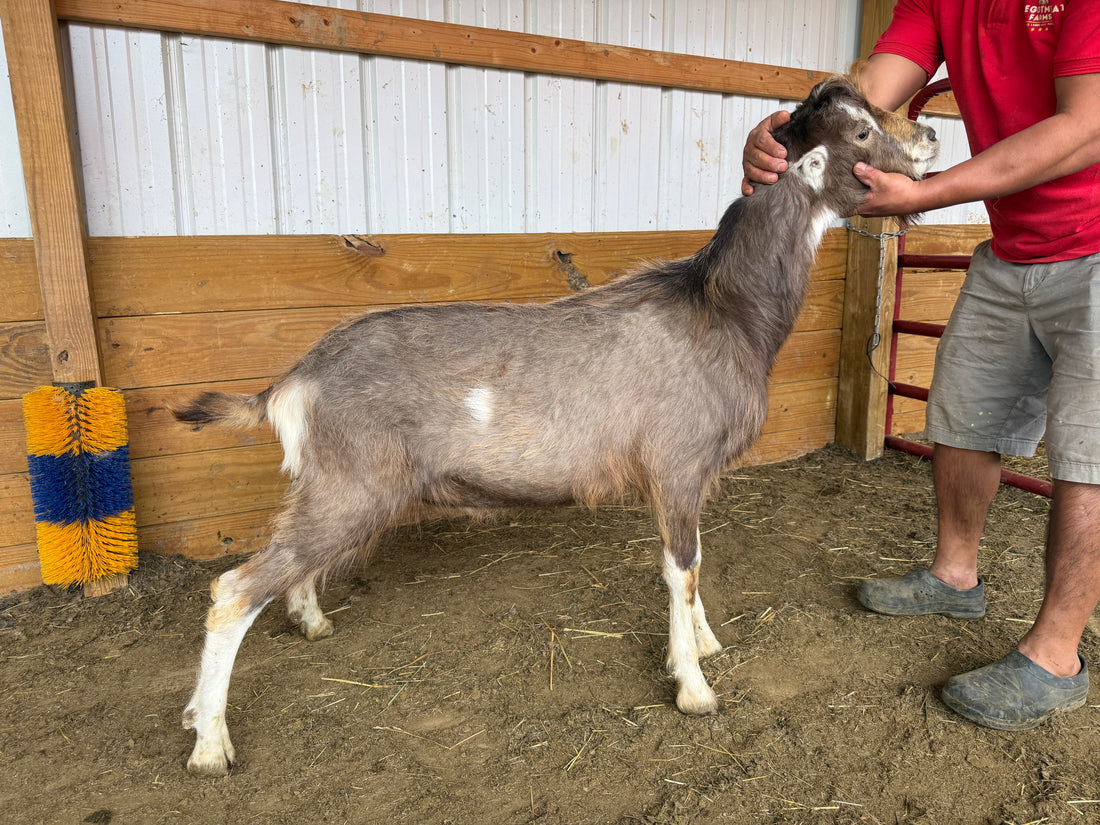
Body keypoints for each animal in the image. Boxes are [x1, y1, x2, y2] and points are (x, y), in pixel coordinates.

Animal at [173, 74, 938, 776]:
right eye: (862, 131)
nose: (931, 135)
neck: (721, 309)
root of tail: (295, 379)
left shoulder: (693, 477)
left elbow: (696, 561)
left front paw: (706, 642)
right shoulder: (677, 463)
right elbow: (681, 567)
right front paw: (694, 686)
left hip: (327, 485)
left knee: (290, 562)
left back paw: (309, 622)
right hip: (351, 485)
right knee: (232, 591)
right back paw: (209, 743)